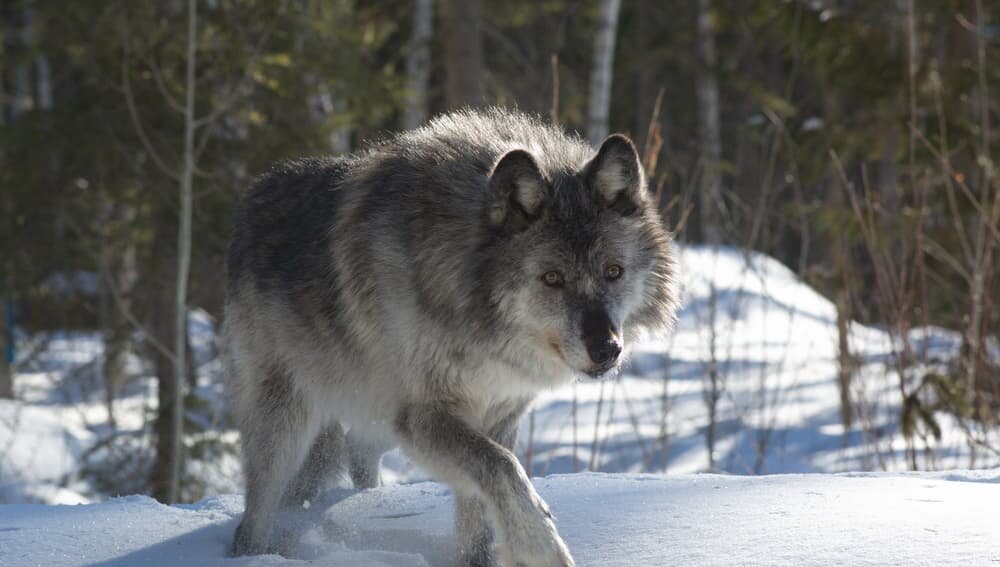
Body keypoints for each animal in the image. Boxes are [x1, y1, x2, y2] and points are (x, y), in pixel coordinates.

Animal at [225, 108, 680, 564]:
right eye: (552, 278)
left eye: (614, 272)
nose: (607, 350)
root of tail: (251, 197)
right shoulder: (423, 416)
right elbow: (503, 468)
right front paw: (542, 545)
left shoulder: (497, 415)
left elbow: (479, 503)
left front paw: (480, 559)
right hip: (290, 422)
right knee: (256, 513)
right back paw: (254, 552)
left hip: (375, 418)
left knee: (354, 452)